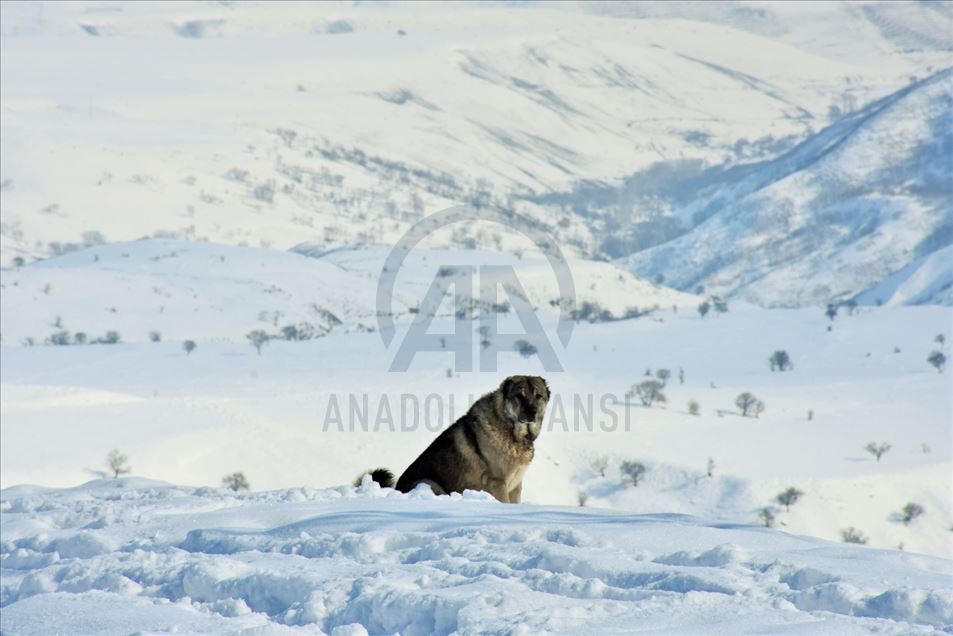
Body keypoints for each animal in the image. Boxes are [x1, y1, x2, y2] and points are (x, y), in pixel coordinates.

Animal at [358, 376, 552, 504]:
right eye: (519, 396)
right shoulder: (498, 483)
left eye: (538, 396)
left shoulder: (516, 486)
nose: (532, 412)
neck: (510, 429)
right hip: (430, 484)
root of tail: (397, 488)